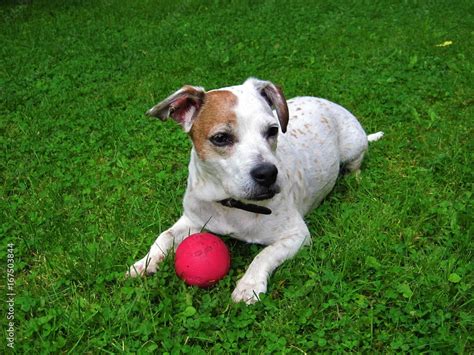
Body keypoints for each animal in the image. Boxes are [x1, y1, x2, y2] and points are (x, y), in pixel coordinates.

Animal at [128, 79, 384, 304]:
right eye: (220, 138)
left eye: (272, 130)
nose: (268, 173)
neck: (230, 204)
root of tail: (330, 102)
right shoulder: (192, 220)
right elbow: (164, 235)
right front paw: (145, 262)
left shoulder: (297, 236)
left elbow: (264, 255)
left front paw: (248, 285)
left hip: (353, 148)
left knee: (355, 164)